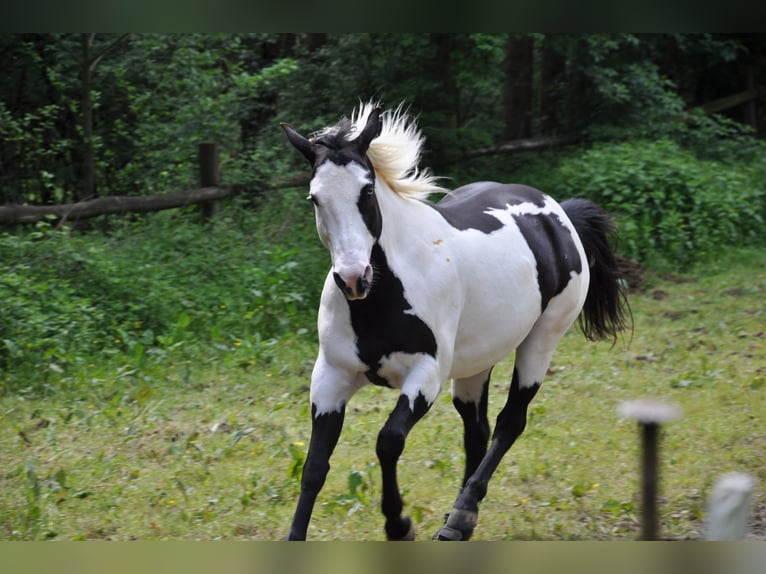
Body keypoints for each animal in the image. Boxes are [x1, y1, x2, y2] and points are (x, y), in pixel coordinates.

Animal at [280, 102, 629, 541]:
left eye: (367, 191)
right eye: (315, 198)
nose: (353, 278)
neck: (382, 299)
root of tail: (559, 214)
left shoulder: (425, 375)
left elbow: (388, 442)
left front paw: (399, 525)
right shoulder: (330, 378)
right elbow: (314, 466)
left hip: (541, 342)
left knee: (510, 421)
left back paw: (462, 513)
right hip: (476, 363)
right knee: (476, 430)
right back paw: (459, 521)